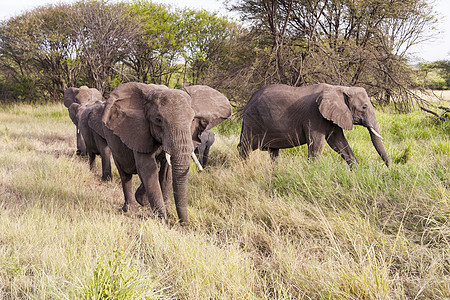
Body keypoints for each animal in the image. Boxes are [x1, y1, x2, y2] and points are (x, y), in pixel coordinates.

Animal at [102, 83, 232, 224]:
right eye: (158, 120)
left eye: (193, 120)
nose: (183, 224)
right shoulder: (140, 133)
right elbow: (147, 168)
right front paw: (162, 221)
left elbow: (166, 173)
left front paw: (164, 215)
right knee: (125, 173)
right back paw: (130, 209)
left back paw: (142, 200)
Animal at [239, 83, 390, 168]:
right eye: (364, 107)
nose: (389, 168)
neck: (339, 88)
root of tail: (249, 101)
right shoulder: (314, 116)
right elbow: (316, 145)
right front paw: (311, 172)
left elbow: (340, 143)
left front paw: (357, 173)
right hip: (253, 121)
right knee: (245, 148)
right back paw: (243, 169)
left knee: (273, 152)